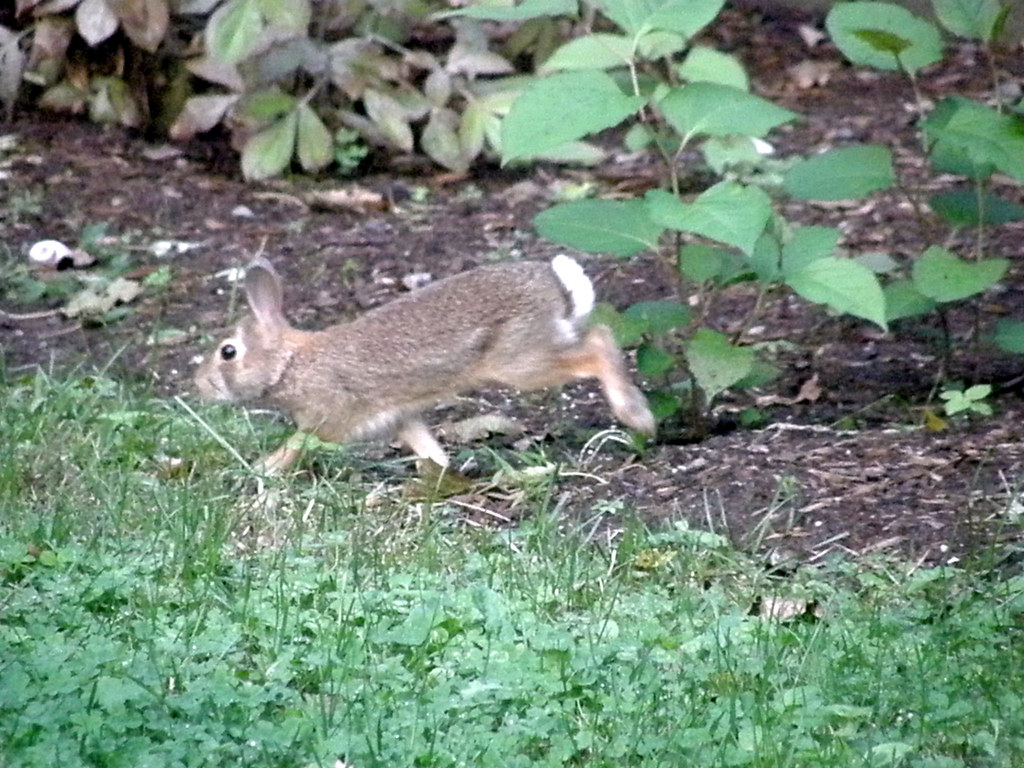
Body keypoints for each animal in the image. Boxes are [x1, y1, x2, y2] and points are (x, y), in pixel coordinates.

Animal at [194, 255, 655, 474]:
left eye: (228, 352)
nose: (199, 385)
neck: (289, 363)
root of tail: (557, 287)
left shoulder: (328, 418)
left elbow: (297, 445)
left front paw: (262, 471)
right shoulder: (401, 418)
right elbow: (428, 449)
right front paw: (439, 475)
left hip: (521, 361)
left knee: (598, 346)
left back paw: (638, 416)